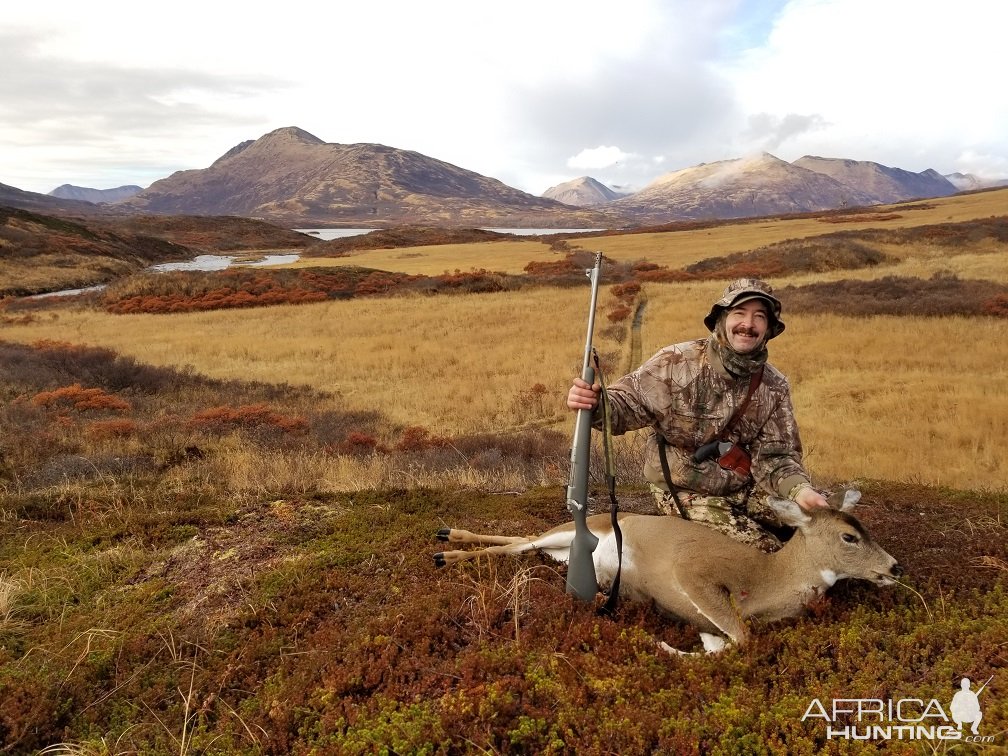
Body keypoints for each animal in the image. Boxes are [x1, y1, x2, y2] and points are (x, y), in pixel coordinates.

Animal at [431, 491, 899, 657]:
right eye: (849, 536)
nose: (894, 567)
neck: (767, 579)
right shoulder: (693, 571)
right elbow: (743, 636)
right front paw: (663, 644)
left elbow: (729, 641)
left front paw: (684, 643)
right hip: (569, 531)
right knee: (515, 543)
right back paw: (444, 551)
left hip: (559, 552)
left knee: (520, 539)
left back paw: (447, 536)